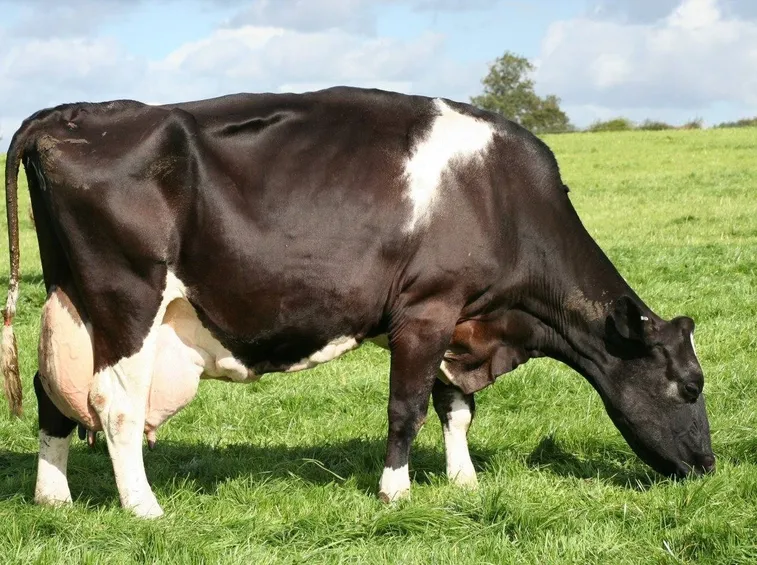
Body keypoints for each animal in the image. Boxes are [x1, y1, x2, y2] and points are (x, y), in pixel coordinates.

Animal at [2, 87, 714, 518]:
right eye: (688, 386)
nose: (708, 466)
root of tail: (71, 113)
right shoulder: (427, 308)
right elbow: (407, 409)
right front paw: (395, 490)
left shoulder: (458, 315)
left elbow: (456, 408)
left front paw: (463, 481)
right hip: (128, 297)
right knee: (115, 403)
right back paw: (145, 508)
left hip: (69, 300)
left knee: (51, 392)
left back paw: (53, 497)